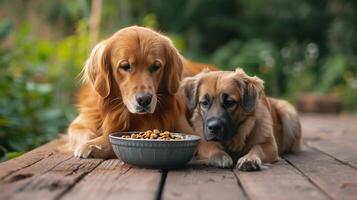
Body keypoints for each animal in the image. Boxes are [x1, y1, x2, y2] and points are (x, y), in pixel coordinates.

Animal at [64, 26, 214, 158]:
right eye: (125, 66)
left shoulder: (181, 125)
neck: (121, 112)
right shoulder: (81, 122)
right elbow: (85, 132)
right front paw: (91, 143)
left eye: (156, 66)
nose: (144, 100)